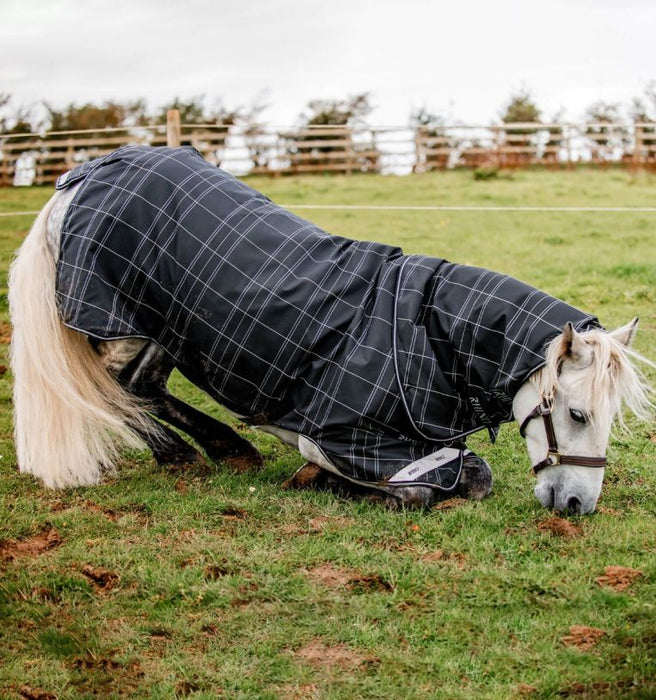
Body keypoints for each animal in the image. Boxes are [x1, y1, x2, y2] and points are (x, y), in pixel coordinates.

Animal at [8, 146, 653, 514]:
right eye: (577, 414)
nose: (579, 504)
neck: (426, 332)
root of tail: (81, 178)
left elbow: (472, 474)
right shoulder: (348, 436)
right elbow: (442, 483)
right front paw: (320, 479)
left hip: (162, 327)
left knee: (145, 389)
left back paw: (226, 450)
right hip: (121, 323)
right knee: (116, 393)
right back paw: (187, 455)